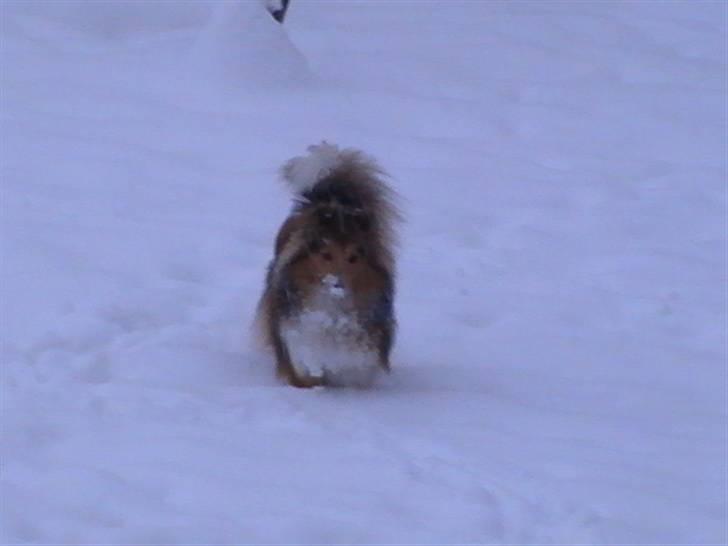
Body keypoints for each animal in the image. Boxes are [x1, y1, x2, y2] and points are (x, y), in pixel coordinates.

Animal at [256, 141, 400, 386]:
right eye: (326, 255)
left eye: (354, 258)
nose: (337, 284)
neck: (332, 311)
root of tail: (334, 199)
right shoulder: (299, 356)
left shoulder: (359, 365)